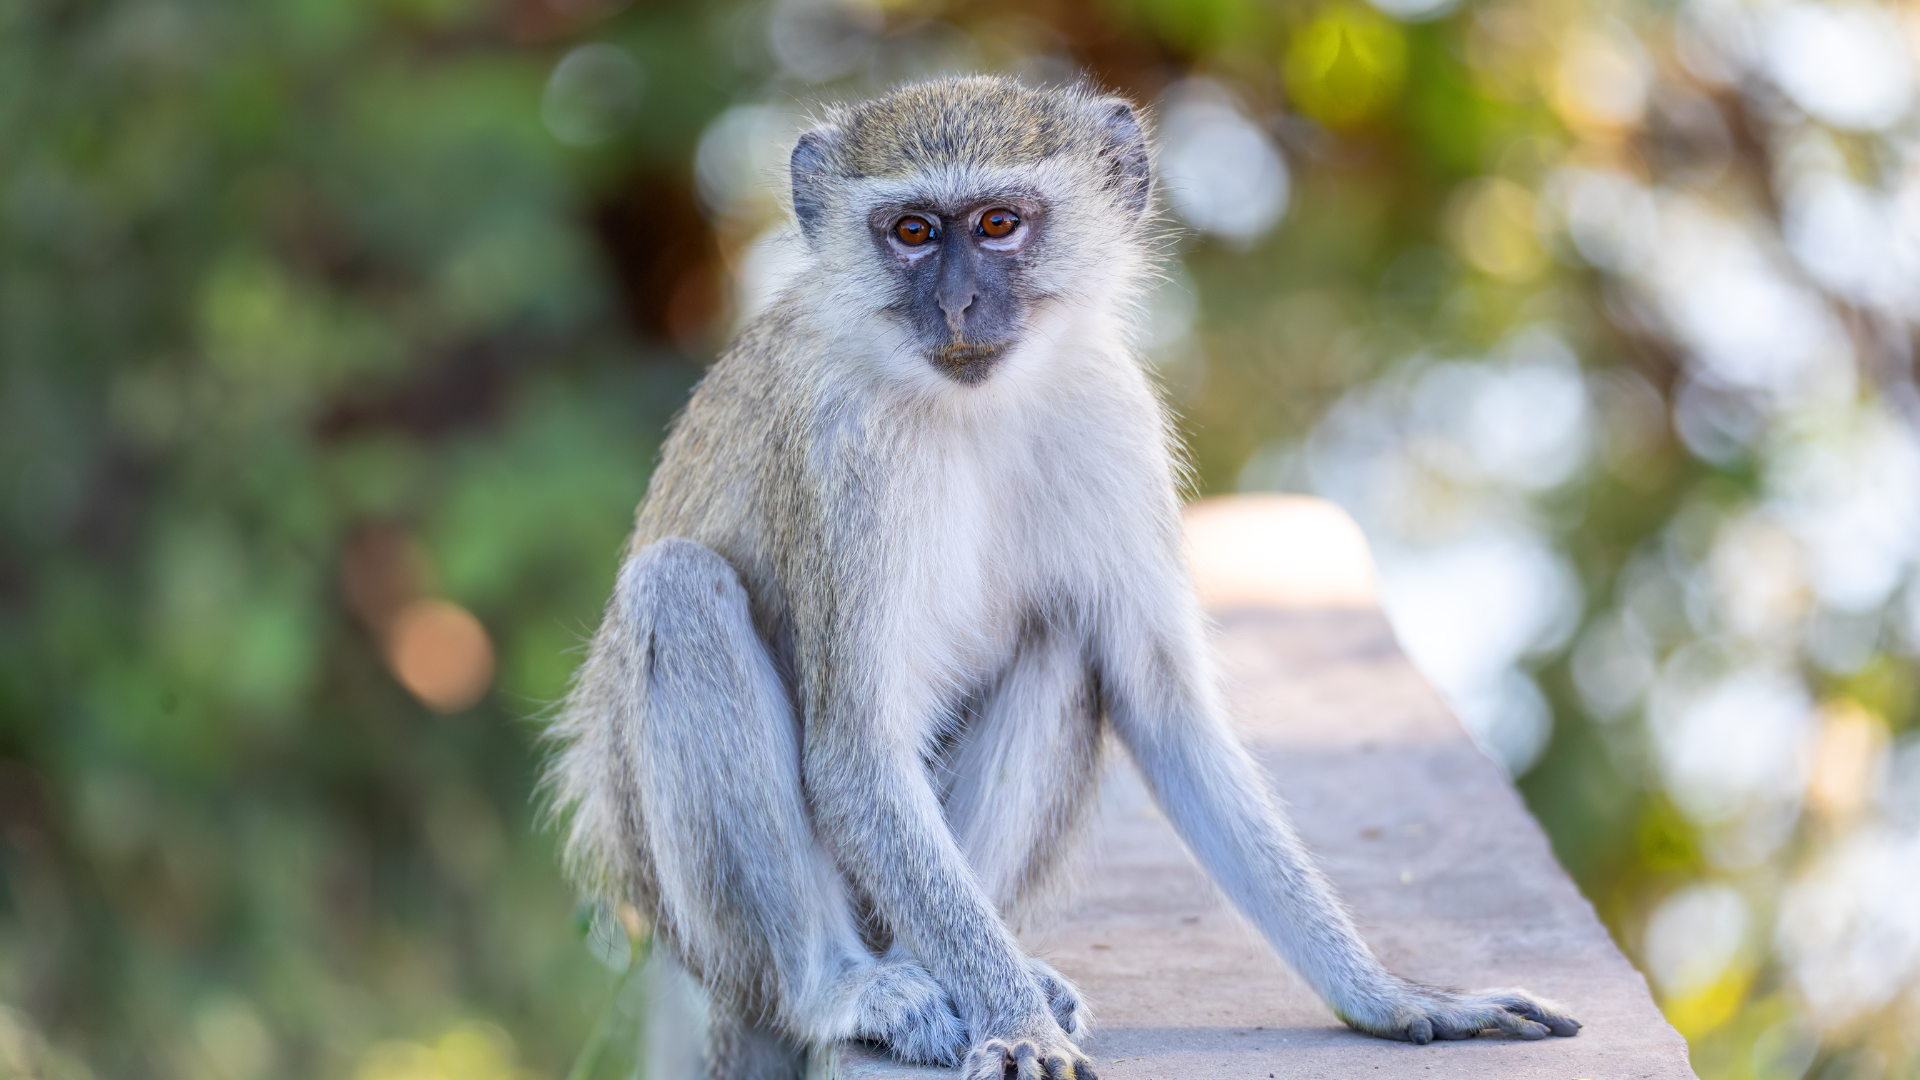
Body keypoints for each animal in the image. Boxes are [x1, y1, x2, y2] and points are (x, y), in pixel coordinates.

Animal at [544, 76, 1581, 1080]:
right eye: (913, 232)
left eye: (999, 222)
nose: (958, 306)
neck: (971, 405)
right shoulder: (845, 455)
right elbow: (857, 758)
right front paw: (1015, 1022)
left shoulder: (1112, 414)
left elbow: (1165, 712)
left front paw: (1390, 995)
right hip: (695, 923)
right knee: (678, 591)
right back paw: (849, 986)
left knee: (1061, 636)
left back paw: (950, 968)